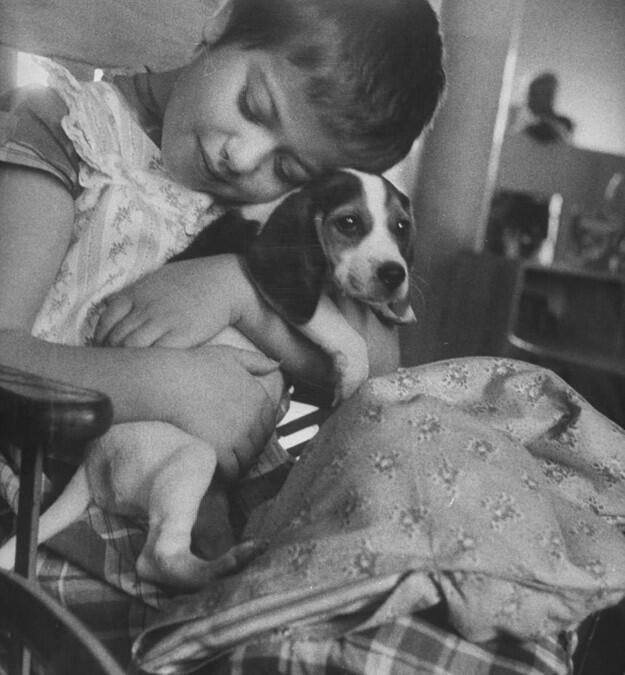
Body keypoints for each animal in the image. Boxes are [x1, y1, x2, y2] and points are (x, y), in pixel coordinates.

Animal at [176, 170, 416, 402]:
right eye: (348, 222)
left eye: (402, 226)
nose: (394, 274)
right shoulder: (304, 297)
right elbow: (346, 334)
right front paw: (354, 377)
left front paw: (395, 309)